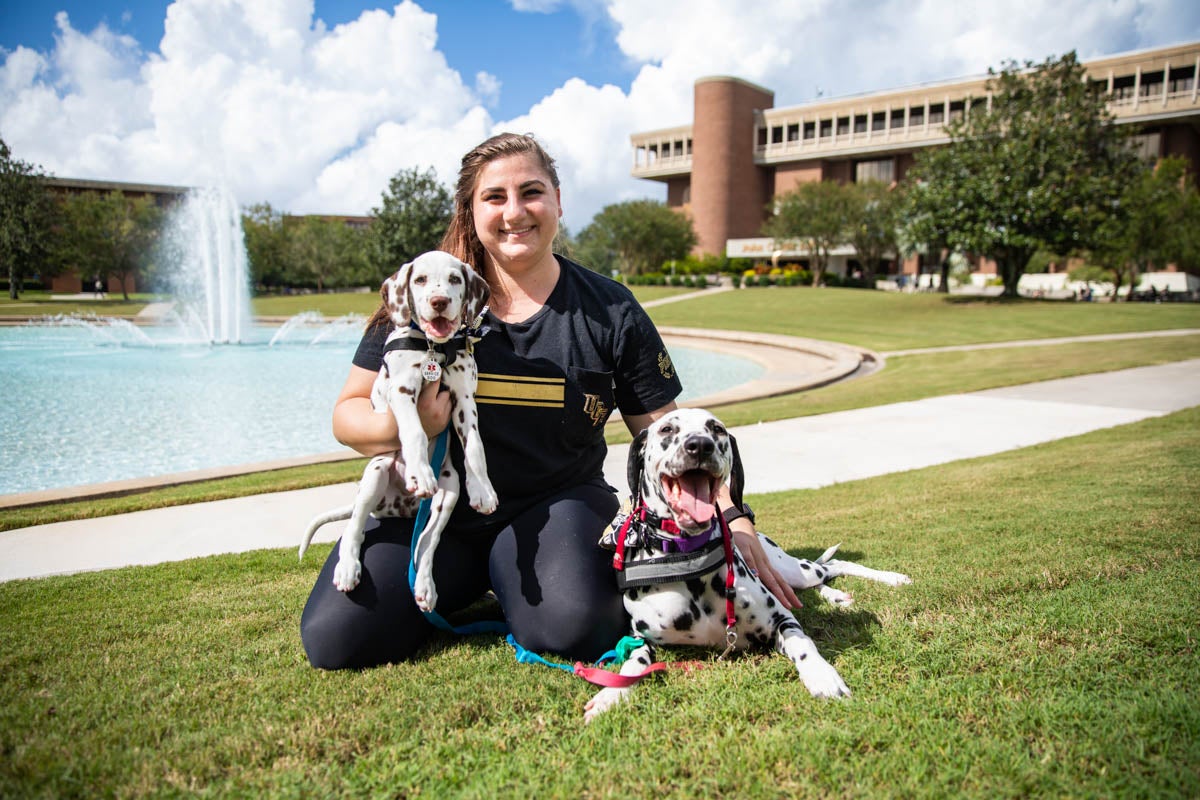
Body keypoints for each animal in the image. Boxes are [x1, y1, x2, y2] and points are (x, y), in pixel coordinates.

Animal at [300, 250, 496, 606]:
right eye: (419, 280)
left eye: (454, 279)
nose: (438, 301)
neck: (435, 348)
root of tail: (398, 506)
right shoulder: (402, 392)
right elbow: (415, 432)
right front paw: (419, 472)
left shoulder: (464, 401)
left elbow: (475, 447)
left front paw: (483, 491)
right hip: (376, 472)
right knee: (354, 527)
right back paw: (347, 568)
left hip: (449, 492)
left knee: (426, 544)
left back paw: (425, 585)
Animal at [585, 410, 912, 724]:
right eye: (667, 429)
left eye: (716, 428)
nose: (699, 445)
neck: (687, 558)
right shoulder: (637, 637)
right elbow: (633, 662)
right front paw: (611, 694)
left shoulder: (781, 620)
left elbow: (803, 644)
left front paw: (822, 675)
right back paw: (837, 596)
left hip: (794, 570)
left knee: (832, 564)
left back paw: (892, 578)